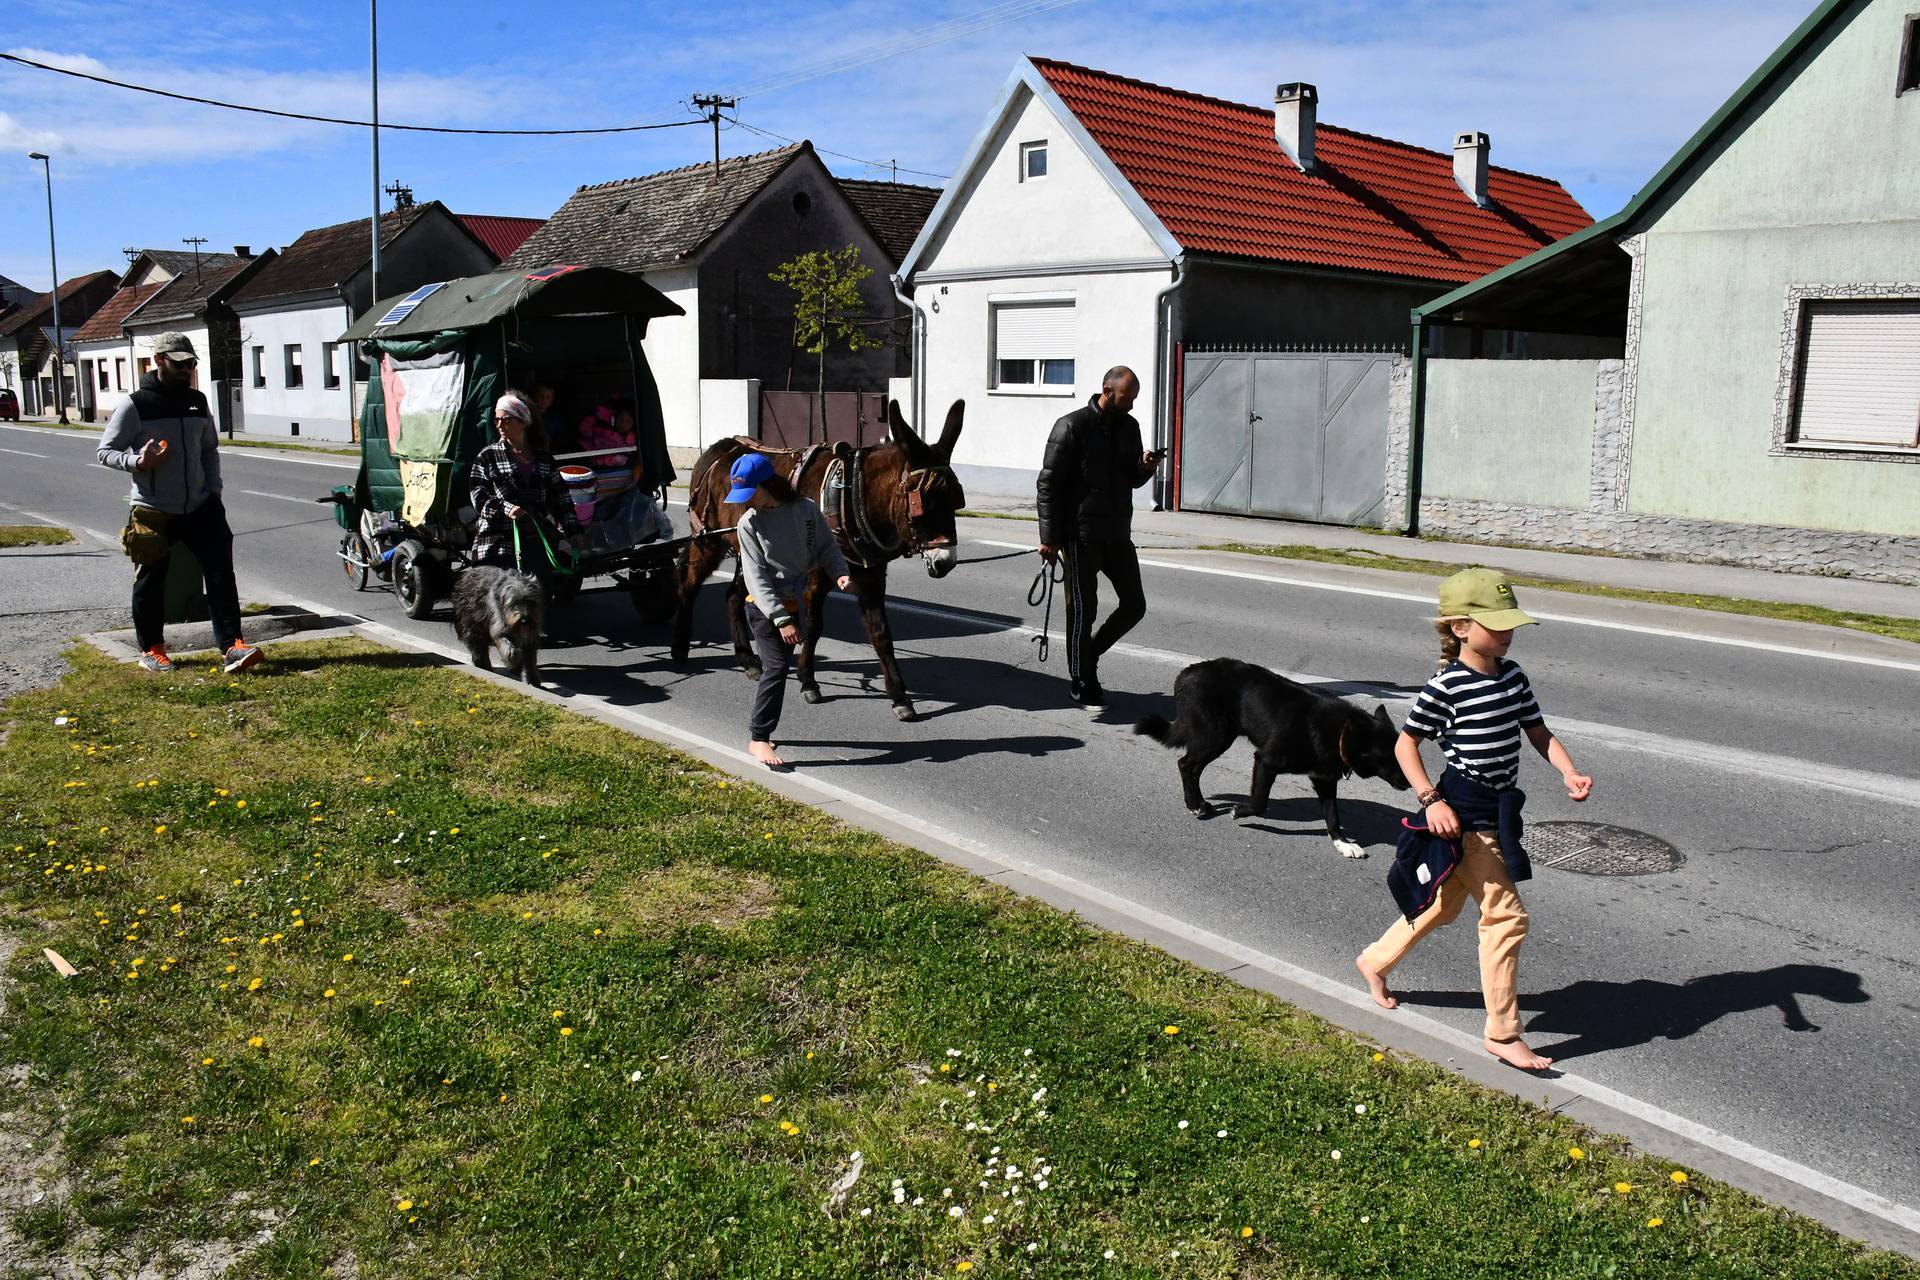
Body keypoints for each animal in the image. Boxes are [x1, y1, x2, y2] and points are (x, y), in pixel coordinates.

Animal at [1121, 660, 1413, 859]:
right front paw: (1238, 811)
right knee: (1186, 765)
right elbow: (1260, 802)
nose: (1411, 784)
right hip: (1214, 737)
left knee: (1191, 767)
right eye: (1394, 758)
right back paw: (1195, 805)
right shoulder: (1266, 761)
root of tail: (1187, 672)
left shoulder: (1324, 779)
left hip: (1219, 737)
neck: (1340, 732)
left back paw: (1198, 803)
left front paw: (1343, 844)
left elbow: (1333, 816)